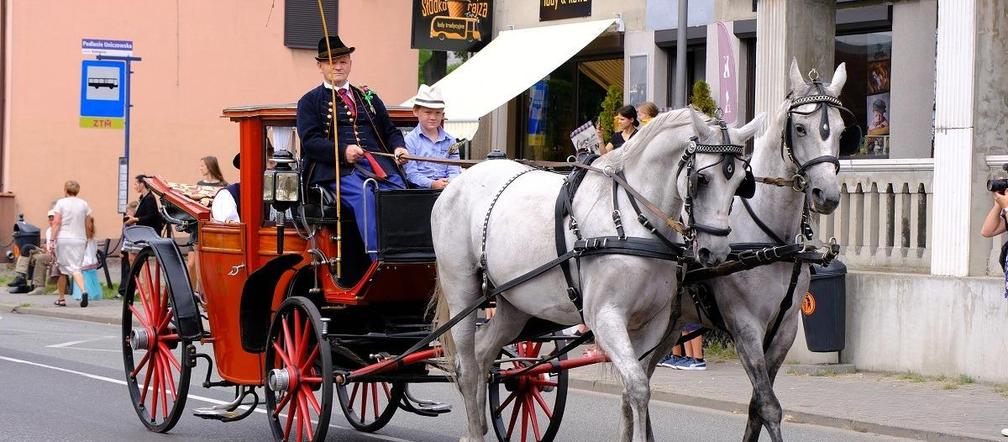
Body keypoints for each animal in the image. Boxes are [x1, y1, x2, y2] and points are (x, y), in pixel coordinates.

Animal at [431, 107, 762, 442]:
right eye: (702, 179)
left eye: (741, 183)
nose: (715, 252)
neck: (632, 220)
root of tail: (461, 181)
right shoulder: (605, 317)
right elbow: (638, 387)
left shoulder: (651, 323)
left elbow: (636, 386)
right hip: (462, 294)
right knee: (466, 366)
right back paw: (474, 431)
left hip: (515, 304)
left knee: (484, 352)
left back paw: (478, 425)